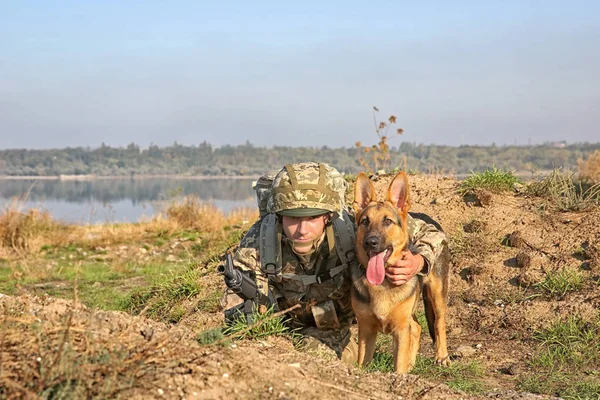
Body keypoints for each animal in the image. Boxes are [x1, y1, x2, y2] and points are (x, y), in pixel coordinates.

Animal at [350, 170, 448, 374]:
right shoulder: (366, 330)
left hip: (437, 294)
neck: (382, 282)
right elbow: (363, 362)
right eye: (365, 222)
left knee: (439, 323)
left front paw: (400, 377)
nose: (370, 242)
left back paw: (442, 356)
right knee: (417, 327)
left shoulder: (401, 330)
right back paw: (412, 364)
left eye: (387, 221)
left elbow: (399, 364)